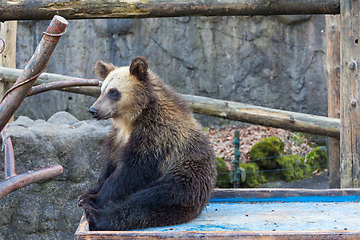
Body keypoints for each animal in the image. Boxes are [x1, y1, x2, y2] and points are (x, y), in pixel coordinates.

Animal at [78, 55, 217, 231]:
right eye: (102, 90)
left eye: (114, 92)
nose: (93, 110)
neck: (133, 118)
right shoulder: (118, 137)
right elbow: (110, 163)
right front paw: (89, 191)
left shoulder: (157, 135)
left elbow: (132, 171)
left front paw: (94, 198)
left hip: (187, 176)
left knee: (152, 200)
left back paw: (96, 216)